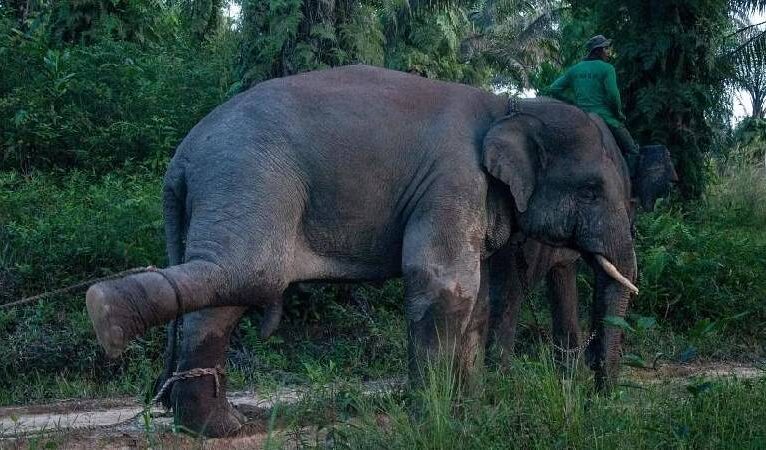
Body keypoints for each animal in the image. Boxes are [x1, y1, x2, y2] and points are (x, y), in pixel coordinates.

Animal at [84, 65, 640, 438]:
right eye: (591, 190)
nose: (601, 395)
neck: (511, 107)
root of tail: (182, 155)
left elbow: (476, 302)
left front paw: (472, 410)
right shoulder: (453, 180)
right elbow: (443, 285)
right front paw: (433, 419)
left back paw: (211, 422)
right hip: (247, 178)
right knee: (247, 273)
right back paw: (111, 317)